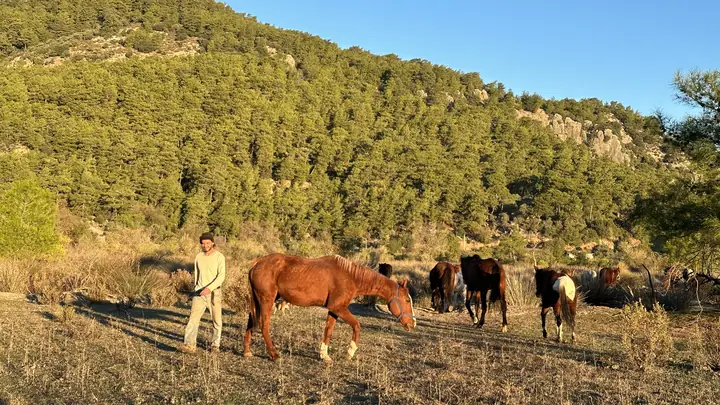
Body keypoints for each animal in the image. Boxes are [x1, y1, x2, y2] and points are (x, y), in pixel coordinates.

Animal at [243, 253, 416, 363]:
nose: (413, 323)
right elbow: (357, 325)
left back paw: (247, 352)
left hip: (258, 301)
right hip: (266, 301)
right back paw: (274, 355)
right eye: (407, 300)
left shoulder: (333, 310)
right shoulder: (338, 308)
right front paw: (350, 352)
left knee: (251, 323)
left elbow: (328, 330)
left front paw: (324, 356)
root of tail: (257, 263)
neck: (350, 276)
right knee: (264, 325)